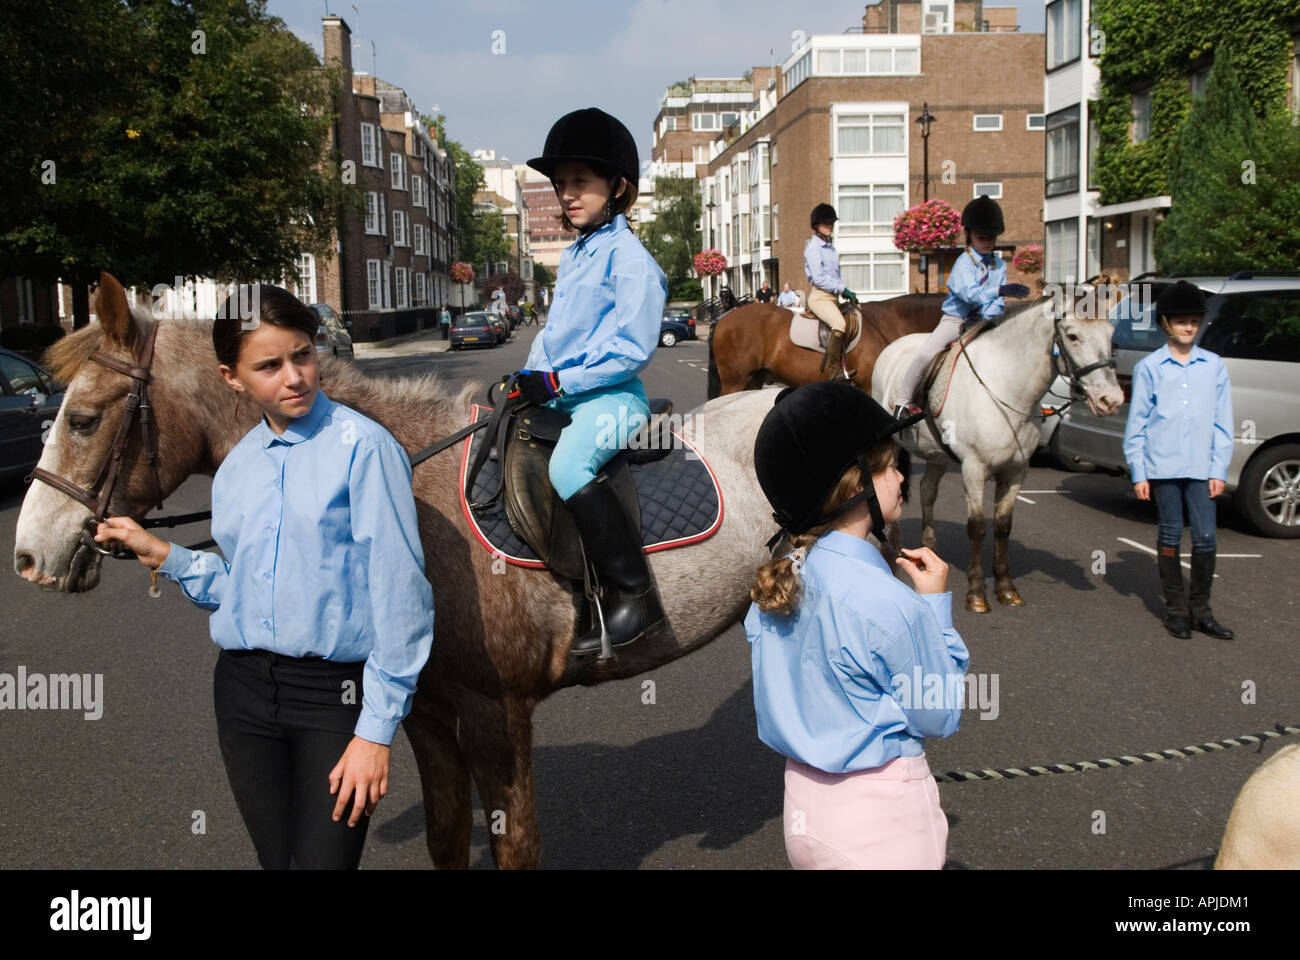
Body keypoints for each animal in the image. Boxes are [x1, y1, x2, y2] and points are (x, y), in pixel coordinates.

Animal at [878, 291, 1123, 608]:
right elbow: (977, 527)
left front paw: (1006, 588)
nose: (1111, 400)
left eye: (1112, 337)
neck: (1006, 388)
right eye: (1073, 336)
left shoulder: (1016, 471)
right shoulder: (973, 468)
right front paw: (976, 594)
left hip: (937, 456)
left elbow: (1004, 526)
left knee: (927, 491)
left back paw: (929, 550)